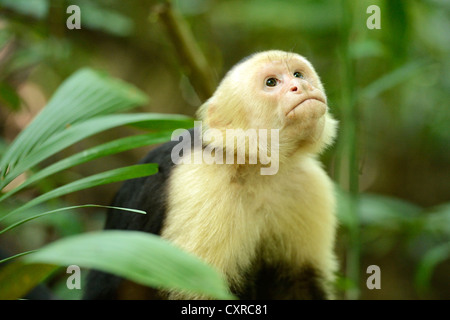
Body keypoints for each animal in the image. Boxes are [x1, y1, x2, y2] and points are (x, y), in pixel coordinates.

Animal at [83, 49, 338, 300]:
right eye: (271, 82)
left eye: (298, 74)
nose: (300, 86)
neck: (257, 168)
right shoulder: (205, 181)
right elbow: (196, 289)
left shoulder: (309, 183)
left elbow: (298, 282)